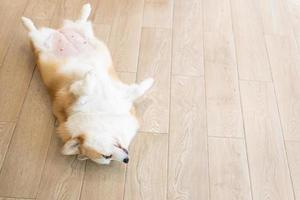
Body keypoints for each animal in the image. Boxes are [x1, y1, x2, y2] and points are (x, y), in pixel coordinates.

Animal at [20, 3, 155, 165]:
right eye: (107, 157)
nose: (126, 159)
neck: (101, 113)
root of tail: (60, 32)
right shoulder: (71, 97)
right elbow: (84, 90)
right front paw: (90, 77)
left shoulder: (120, 94)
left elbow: (137, 90)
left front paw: (150, 81)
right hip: (39, 43)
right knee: (32, 30)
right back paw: (25, 20)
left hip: (83, 31)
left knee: (80, 20)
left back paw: (85, 8)